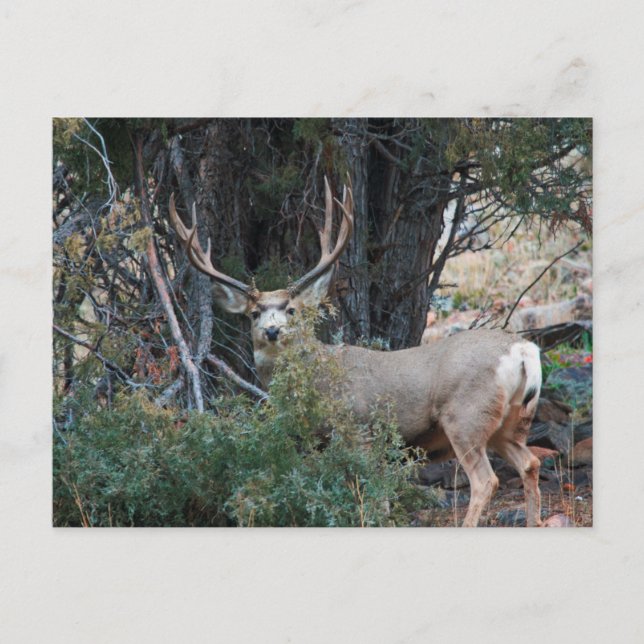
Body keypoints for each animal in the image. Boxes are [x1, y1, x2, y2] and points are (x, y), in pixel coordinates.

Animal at [168, 177, 543, 527]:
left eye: (292, 310)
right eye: (254, 313)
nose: (272, 331)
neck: (319, 380)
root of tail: (523, 349)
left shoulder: (361, 429)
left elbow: (374, 497)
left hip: (466, 415)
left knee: (486, 481)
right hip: (510, 421)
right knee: (531, 463)